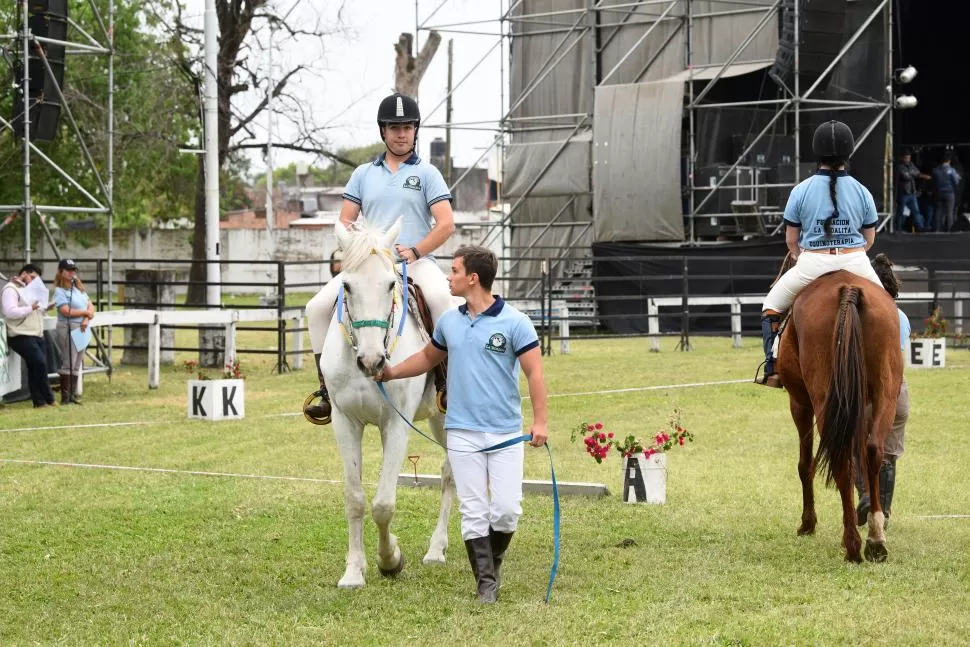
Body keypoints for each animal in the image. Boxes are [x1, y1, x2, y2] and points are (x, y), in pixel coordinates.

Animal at [320, 219, 452, 592]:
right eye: (346, 285)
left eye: (391, 284)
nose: (372, 361)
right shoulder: (346, 422)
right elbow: (356, 498)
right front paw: (354, 571)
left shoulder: (396, 424)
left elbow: (383, 503)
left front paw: (390, 560)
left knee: (451, 473)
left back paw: (436, 550)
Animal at [776, 268, 904, 560]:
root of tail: (849, 289)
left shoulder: (799, 402)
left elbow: (805, 464)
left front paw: (807, 524)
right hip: (886, 391)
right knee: (873, 451)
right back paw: (875, 538)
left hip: (824, 399)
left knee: (841, 461)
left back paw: (852, 544)